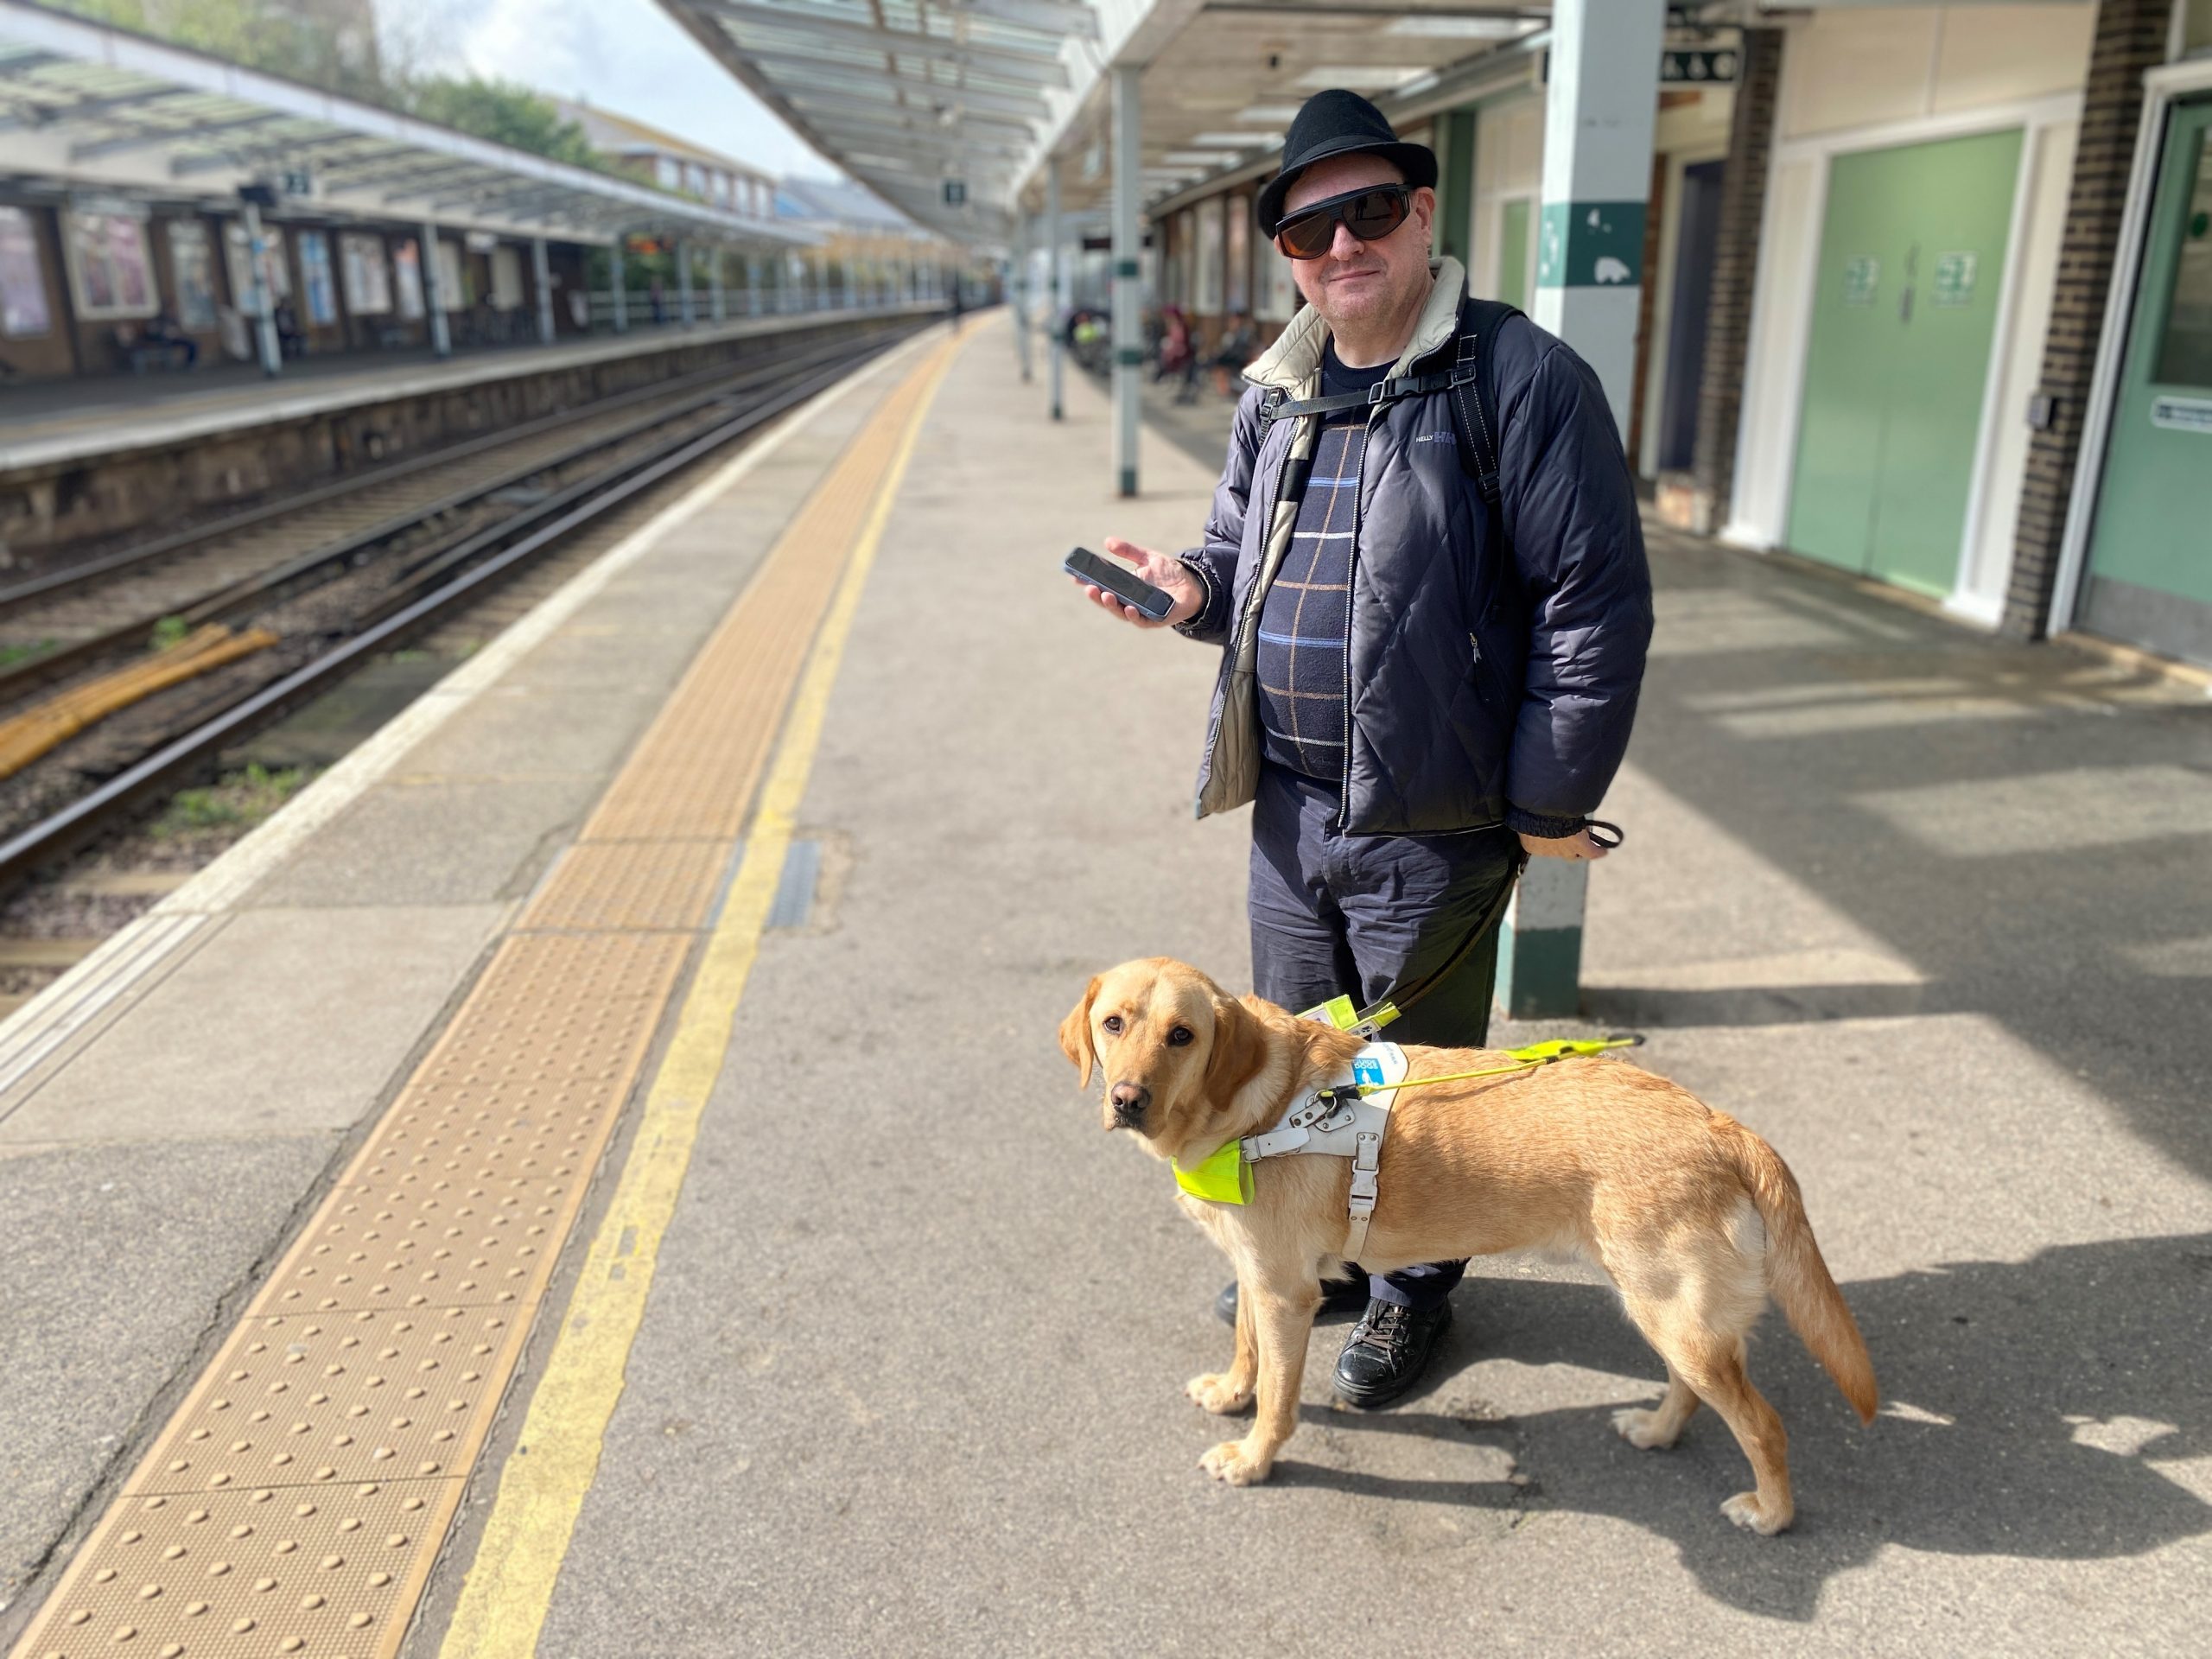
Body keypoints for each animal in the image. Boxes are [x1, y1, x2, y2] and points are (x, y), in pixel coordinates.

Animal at [1061, 955, 1875, 1539]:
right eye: (1113, 1023)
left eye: (1183, 1036)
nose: (1127, 1100)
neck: (1258, 1103)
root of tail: (1720, 1124)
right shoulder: (1259, 1276)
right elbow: (1246, 1348)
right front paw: (1233, 1392)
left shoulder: (1287, 1295)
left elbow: (1280, 1400)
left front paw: (1254, 1458)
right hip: (1668, 1314)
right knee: (1692, 1388)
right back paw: (1657, 1430)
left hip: (1677, 1316)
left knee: (1763, 1425)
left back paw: (1772, 1513)